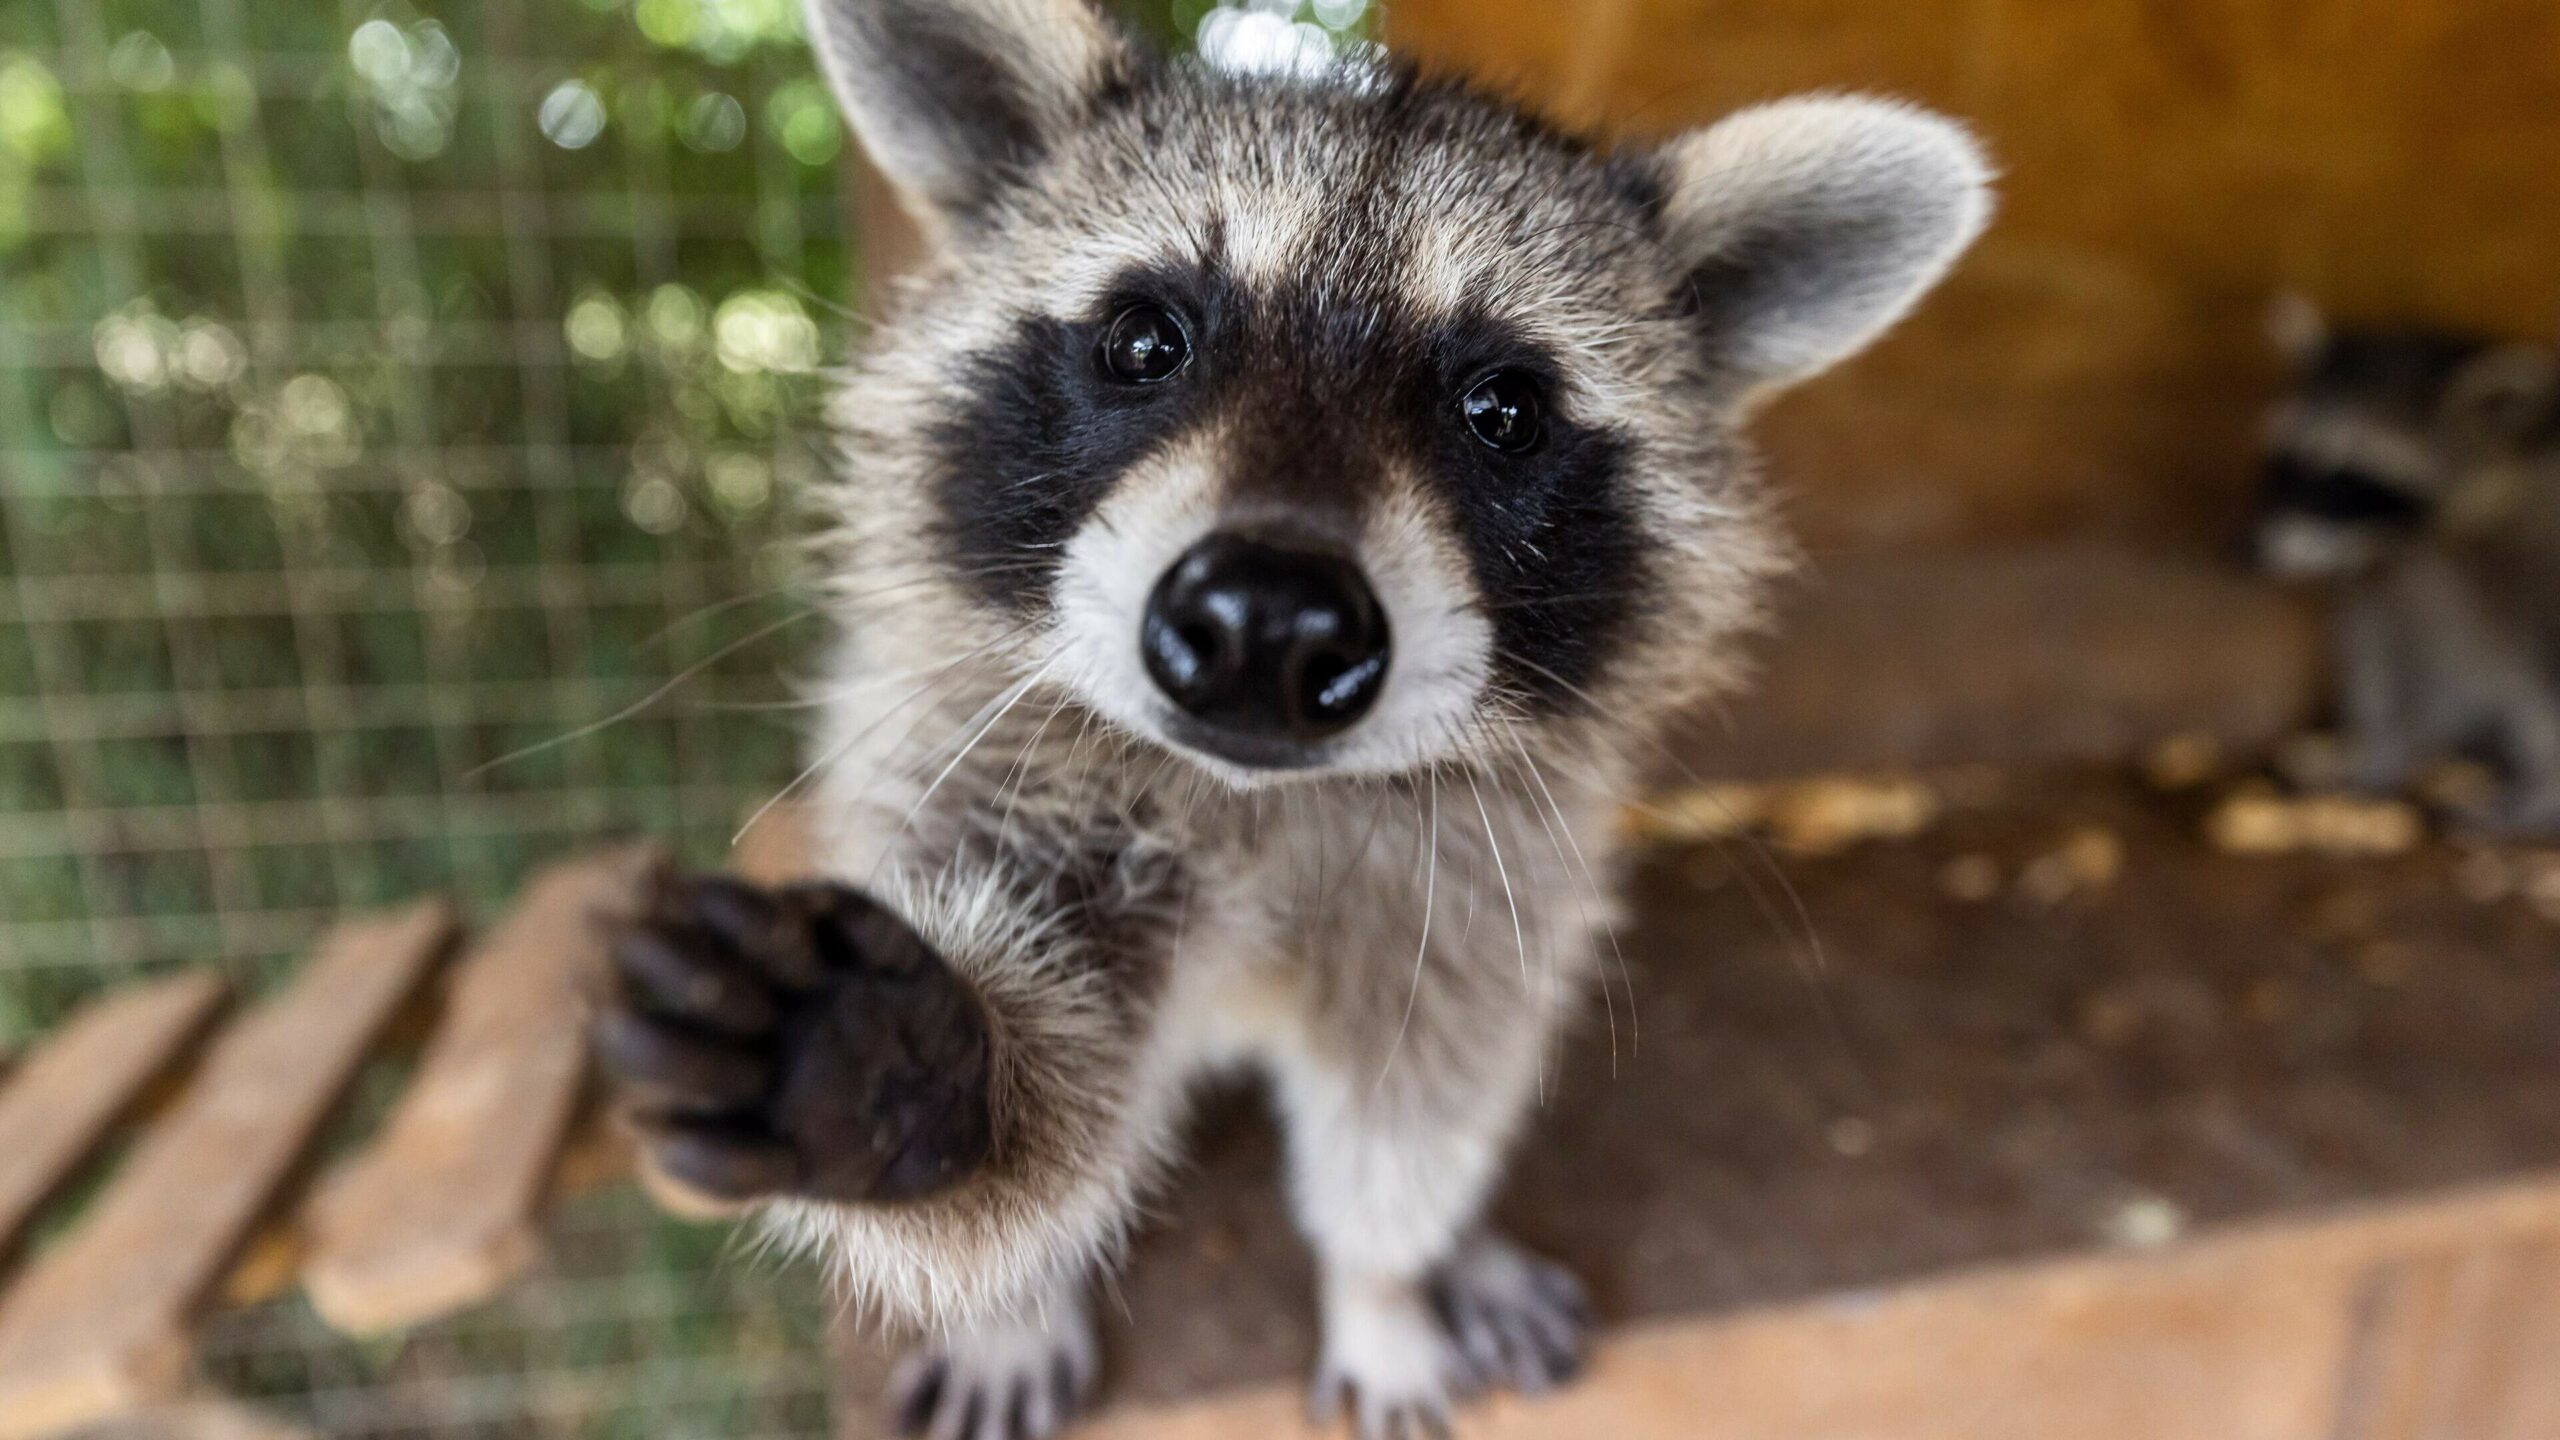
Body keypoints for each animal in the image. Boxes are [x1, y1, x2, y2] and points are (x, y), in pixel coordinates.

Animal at [592, 3, 1991, 1436]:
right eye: (1144, 340)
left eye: (1504, 410)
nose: (1266, 624)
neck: (1255, 797)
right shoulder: (969, 755)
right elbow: (1052, 1084)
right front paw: (915, 1091)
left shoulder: (1477, 884)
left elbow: (1417, 1105)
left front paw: (1383, 1288)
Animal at [2251, 295, 2560, 829]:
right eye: (2285, 460)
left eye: (2348, 477)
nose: (2258, 550)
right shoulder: (2393, 574)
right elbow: (2386, 659)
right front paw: (2377, 753)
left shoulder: (2533, 557)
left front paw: (2544, 792)